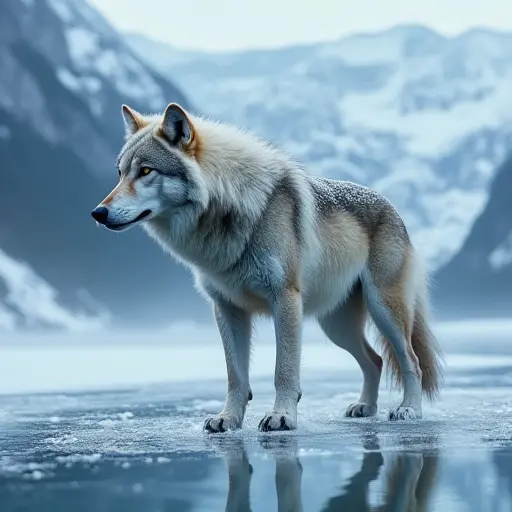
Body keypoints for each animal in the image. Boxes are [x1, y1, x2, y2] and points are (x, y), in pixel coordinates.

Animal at [90, 103, 442, 432]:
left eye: (146, 171)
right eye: (120, 173)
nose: (98, 213)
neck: (229, 213)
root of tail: (393, 207)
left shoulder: (284, 301)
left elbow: (282, 371)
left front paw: (281, 417)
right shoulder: (226, 308)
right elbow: (236, 376)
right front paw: (227, 419)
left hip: (383, 312)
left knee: (411, 361)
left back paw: (408, 410)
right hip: (336, 326)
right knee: (376, 361)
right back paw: (365, 408)